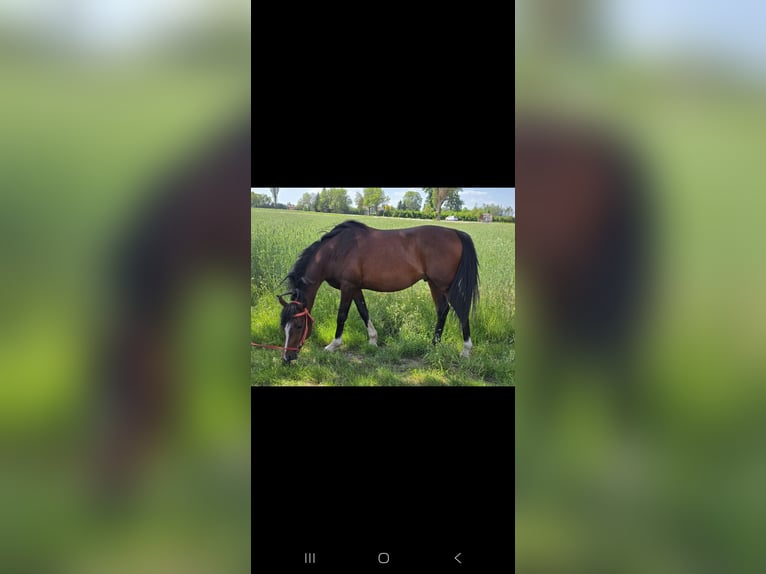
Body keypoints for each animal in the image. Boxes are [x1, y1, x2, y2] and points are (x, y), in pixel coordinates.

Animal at [276, 221, 480, 364]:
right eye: (283, 326)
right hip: (434, 285)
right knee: (442, 310)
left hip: (444, 285)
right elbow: (363, 311)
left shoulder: (347, 286)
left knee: (461, 311)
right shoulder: (355, 287)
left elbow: (342, 316)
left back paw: (465, 350)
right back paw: (434, 345)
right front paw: (373, 341)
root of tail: (456, 233)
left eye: (299, 326)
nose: (287, 358)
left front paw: (333, 345)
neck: (336, 250)